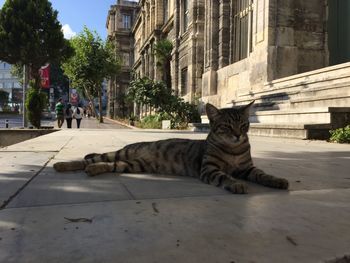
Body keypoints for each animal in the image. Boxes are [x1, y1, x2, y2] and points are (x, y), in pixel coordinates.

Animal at [53, 102, 288, 195]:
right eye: (227, 126)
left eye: (244, 125)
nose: (239, 135)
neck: (233, 150)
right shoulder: (209, 169)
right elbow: (225, 176)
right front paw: (236, 184)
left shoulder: (248, 168)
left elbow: (262, 174)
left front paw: (277, 180)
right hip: (122, 153)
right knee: (89, 159)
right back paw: (62, 165)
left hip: (132, 165)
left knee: (109, 165)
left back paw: (93, 170)